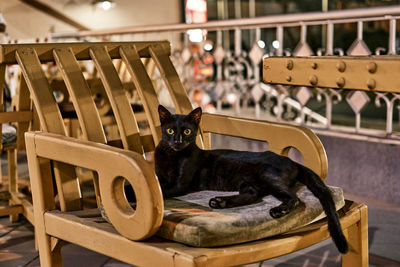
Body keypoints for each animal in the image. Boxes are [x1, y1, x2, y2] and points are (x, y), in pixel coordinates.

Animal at [155, 105, 348, 254]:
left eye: (187, 131)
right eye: (170, 130)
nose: (177, 141)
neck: (172, 155)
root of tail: (292, 161)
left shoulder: (180, 184)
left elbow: (164, 190)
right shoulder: (160, 176)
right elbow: (160, 184)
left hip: (268, 177)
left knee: (293, 198)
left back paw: (278, 211)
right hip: (248, 182)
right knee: (253, 195)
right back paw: (220, 202)